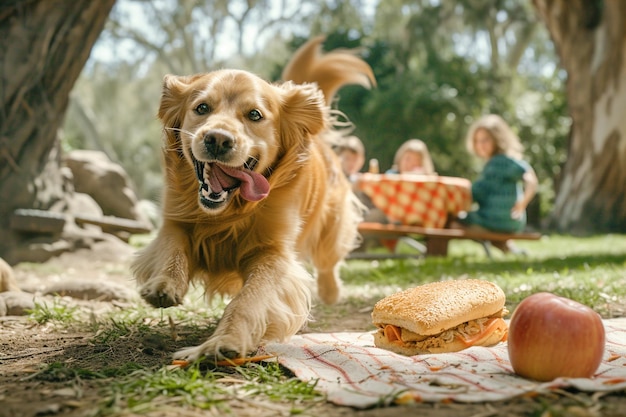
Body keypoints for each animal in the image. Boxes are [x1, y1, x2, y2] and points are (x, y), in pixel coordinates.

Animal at [132, 36, 376, 360]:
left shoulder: (272, 254)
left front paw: (224, 341)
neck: (229, 213)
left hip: (331, 226)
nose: (217, 139)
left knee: (329, 259)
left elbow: (248, 300)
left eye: (255, 115)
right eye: (202, 107)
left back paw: (330, 290)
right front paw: (163, 284)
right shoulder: (176, 219)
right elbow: (172, 248)